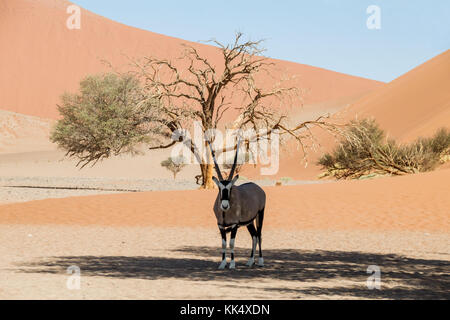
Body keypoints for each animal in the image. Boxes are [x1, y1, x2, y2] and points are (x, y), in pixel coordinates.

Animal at [208, 138, 268, 270]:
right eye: (219, 188)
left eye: (230, 188)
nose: (225, 206)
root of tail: (258, 188)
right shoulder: (220, 225)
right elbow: (223, 243)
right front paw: (222, 263)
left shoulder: (234, 225)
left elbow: (231, 243)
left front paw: (232, 264)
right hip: (249, 222)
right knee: (254, 236)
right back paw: (250, 261)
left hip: (260, 215)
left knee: (259, 235)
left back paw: (261, 261)